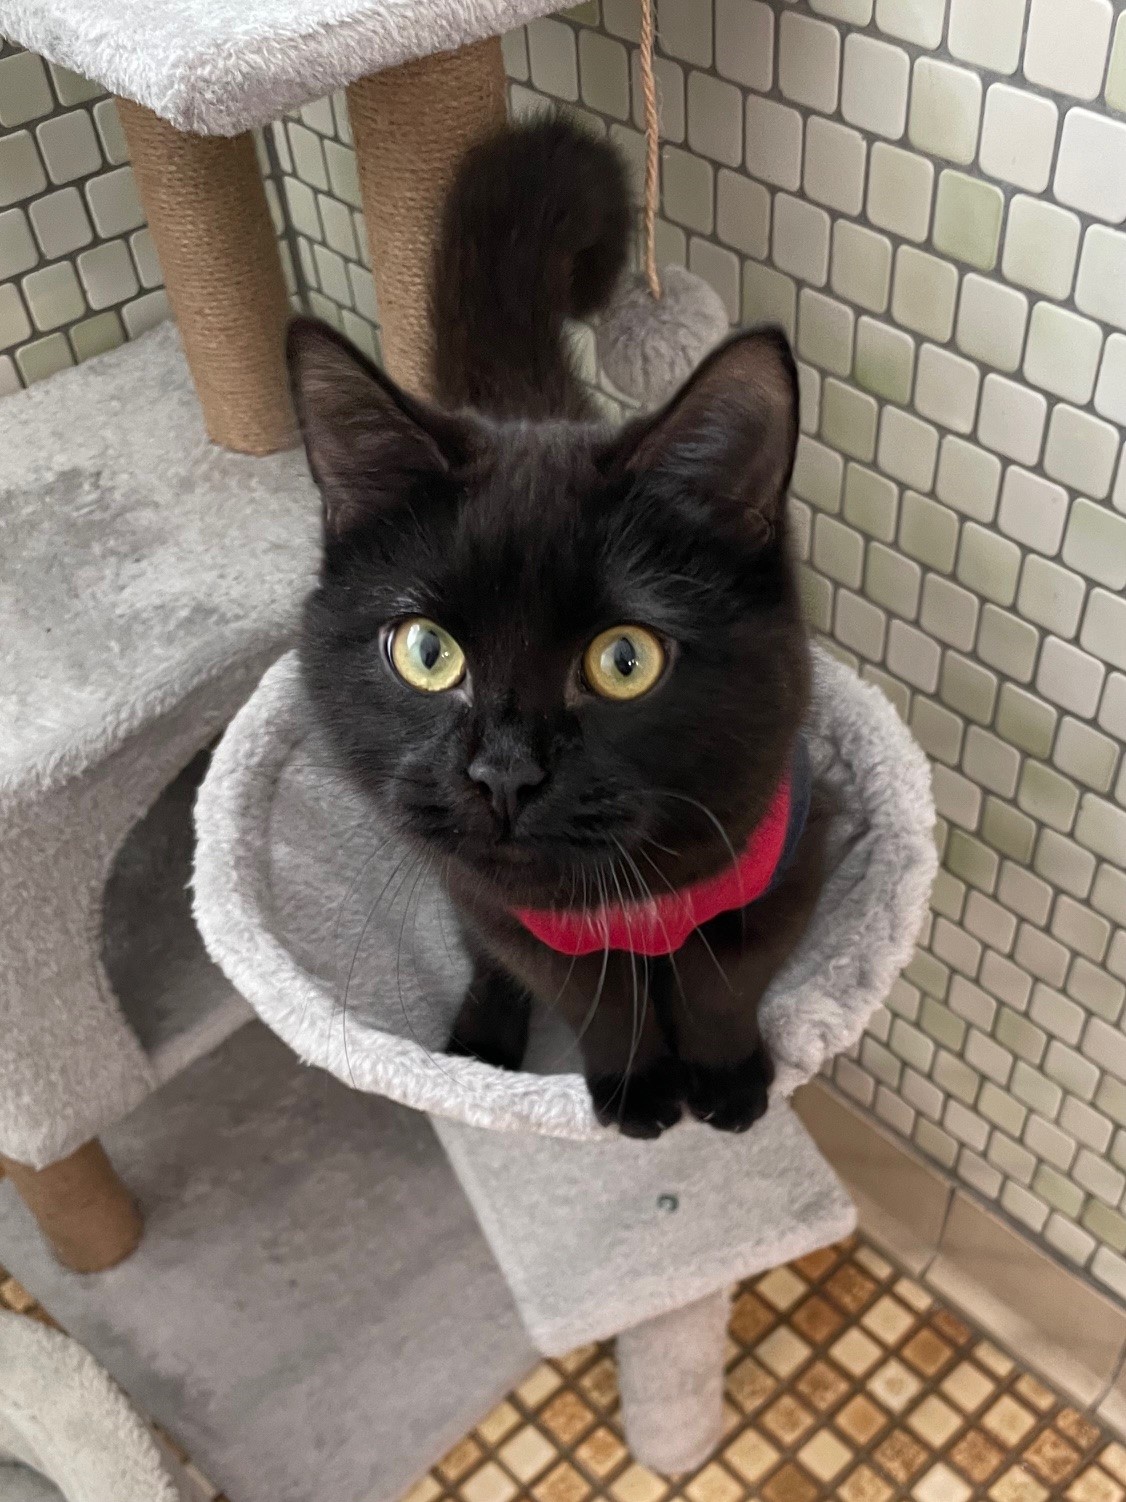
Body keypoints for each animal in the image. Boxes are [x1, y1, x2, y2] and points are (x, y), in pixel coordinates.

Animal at [287, 115, 829, 1138]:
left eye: (624, 660)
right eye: (427, 653)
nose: (504, 772)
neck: (622, 904)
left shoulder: (783, 864)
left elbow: (721, 980)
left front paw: (729, 1082)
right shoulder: (507, 912)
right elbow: (597, 999)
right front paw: (636, 1092)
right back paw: (478, 1047)